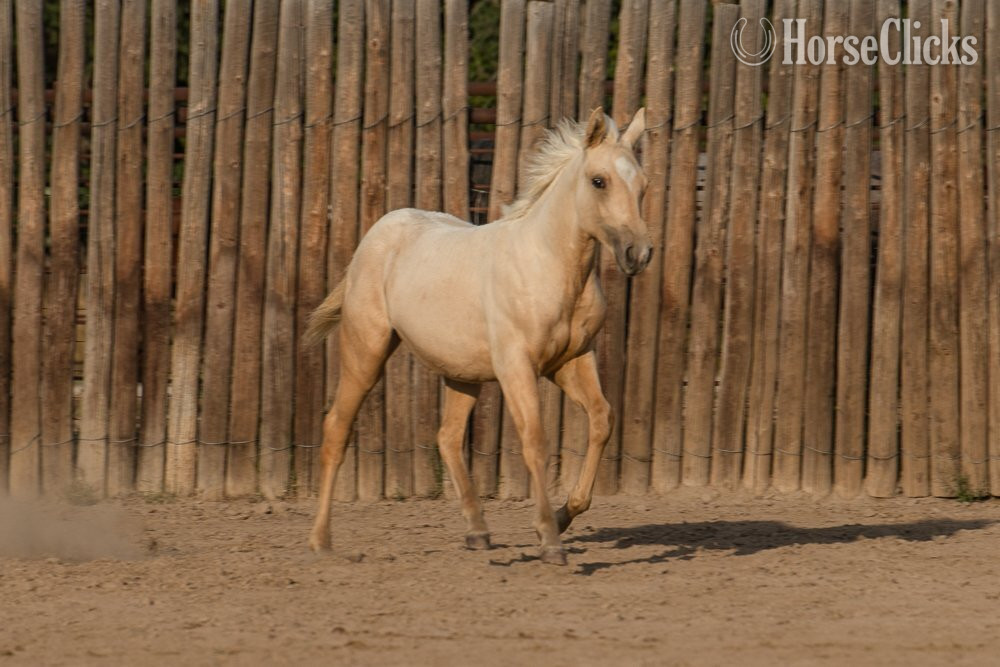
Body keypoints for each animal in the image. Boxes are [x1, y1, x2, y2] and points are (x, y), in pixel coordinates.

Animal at [305, 107, 652, 565]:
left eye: (643, 185)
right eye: (599, 181)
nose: (638, 254)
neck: (548, 265)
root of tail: (375, 235)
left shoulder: (573, 360)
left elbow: (601, 419)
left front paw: (564, 516)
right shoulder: (516, 366)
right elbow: (534, 439)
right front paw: (549, 540)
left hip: (462, 373)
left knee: (448, 437)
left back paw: (478, 532)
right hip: (367, 351)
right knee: (335, 429)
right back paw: (321, 541)